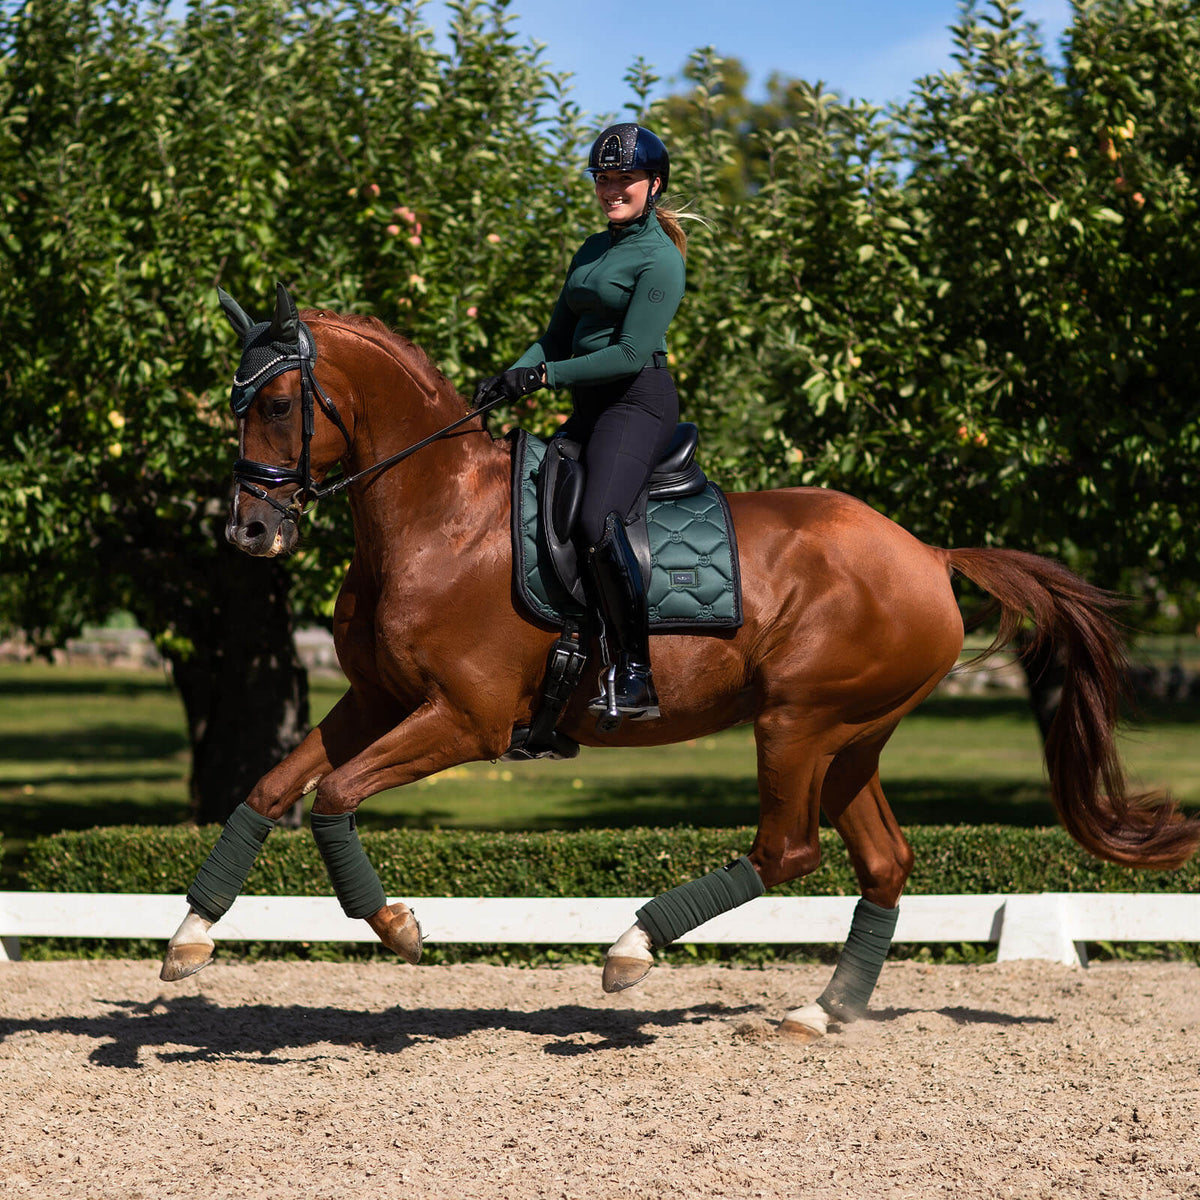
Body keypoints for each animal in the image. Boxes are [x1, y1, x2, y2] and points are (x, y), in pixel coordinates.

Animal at [161, 284, 1200, 1040]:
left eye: (282, 403)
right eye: (235, 403)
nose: (251, 533)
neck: (436, 517)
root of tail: (926, 553)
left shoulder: (466, 720)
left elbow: (333, 795)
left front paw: (396, 926)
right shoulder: (378, 699)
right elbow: (270, 789)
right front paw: (189, 936)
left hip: (796, 724)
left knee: (788, 851)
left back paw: (633, 948)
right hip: (851, 739)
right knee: (883, 861)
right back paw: (820, 1011)